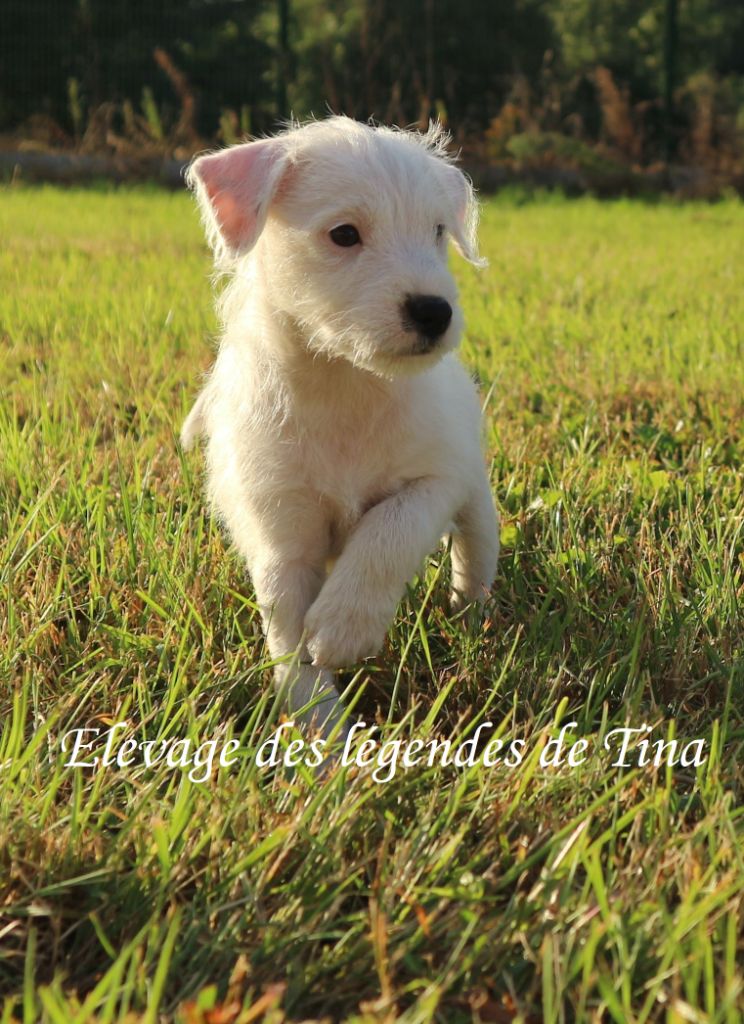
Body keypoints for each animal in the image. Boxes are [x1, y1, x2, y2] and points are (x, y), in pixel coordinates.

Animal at [181, 116, 500, 736]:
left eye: (437, 231)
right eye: (344, 234)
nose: (435, 312)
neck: (346, 383)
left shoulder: (435, 479)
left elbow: (388, 530)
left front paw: (344, 626)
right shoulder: (282, 541)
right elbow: (289, 643)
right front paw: (321, 731)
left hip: (475, 495)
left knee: (475, 550)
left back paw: (472, 615)